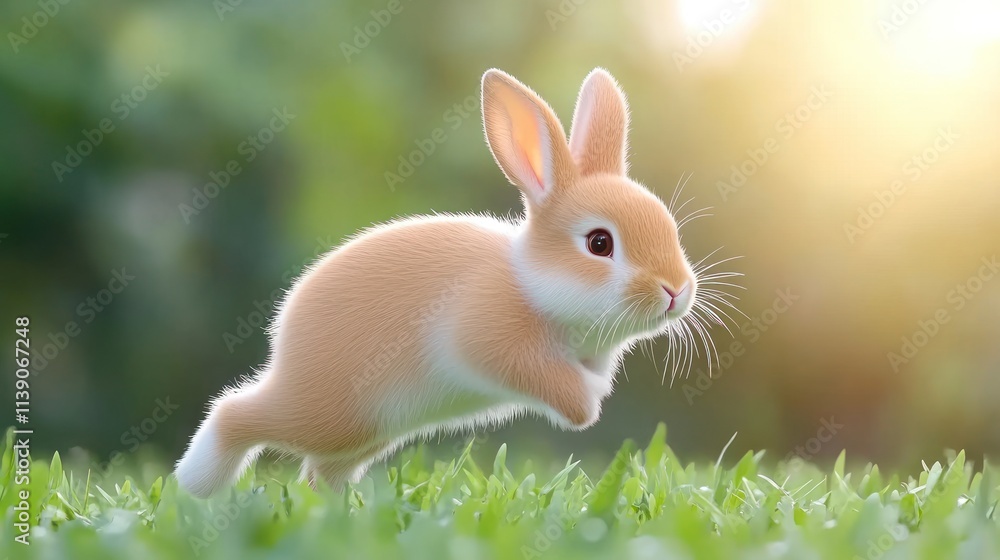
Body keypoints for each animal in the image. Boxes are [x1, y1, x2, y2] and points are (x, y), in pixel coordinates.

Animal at [175, 67, 703, 498]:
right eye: (599, 243)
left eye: (669, 226)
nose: (675, 291)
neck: (531, 282)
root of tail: (282, 340)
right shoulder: (490, 338)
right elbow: (553, 384)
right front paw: (589, 404)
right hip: (328, 412)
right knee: (235, 413)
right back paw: (195, 488)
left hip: (365, 434)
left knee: (321, 472)